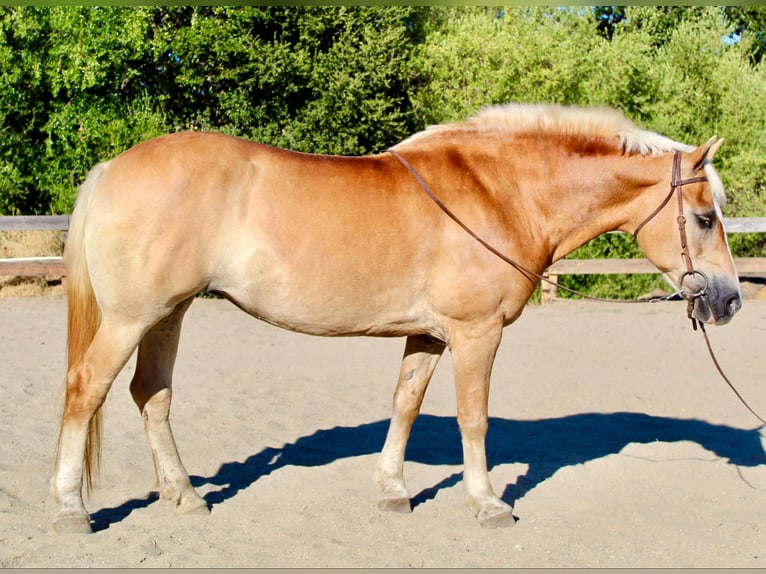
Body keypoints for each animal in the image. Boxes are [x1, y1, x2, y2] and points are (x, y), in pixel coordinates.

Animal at [49, 102, 744, 536]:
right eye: (705, 217)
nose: (731, 300)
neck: (501, 192)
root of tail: (112, 167)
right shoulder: (476, 333)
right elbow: (473, 418)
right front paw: (487, 503)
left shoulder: (428, 336)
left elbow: (405, 405)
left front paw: (391, 490)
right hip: (130, 318)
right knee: (86, 391)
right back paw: (69, 509)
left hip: (168, 313)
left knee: (152, 396)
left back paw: (186, 497)